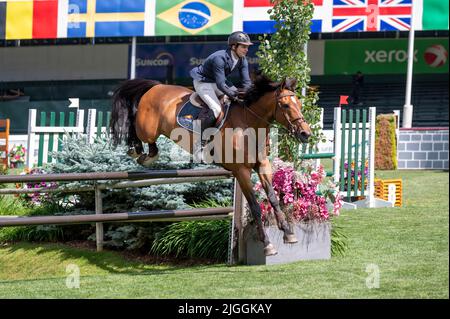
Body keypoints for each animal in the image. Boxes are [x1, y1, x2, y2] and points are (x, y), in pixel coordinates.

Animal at [110, 75, 312, 258]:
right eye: (285, 106)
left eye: (299, 104)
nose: (305, 134)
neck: (249, 125)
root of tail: (157, 86)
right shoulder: (241, 171)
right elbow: (255, 206)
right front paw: (268, 245)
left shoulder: (262, 165)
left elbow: (273, 198)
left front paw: (288, 234)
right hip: (147, 129)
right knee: (135, 124)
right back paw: (135, 149)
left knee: (151, 146)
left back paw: (146, 155)